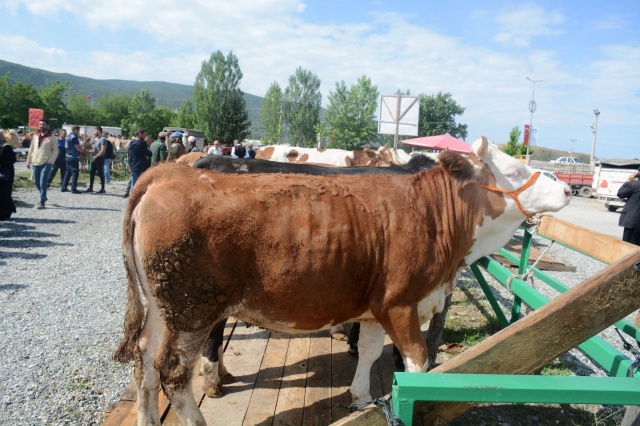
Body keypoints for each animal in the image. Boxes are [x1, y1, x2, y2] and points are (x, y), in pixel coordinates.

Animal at [114, 137, 568, 426]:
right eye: (514, 169)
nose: (566, 188)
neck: (434, 213)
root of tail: (168, 175)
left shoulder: (374, 307)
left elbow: (368, 351)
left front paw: (362, 398)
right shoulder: (400, 303)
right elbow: (416, 363)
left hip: (164, 310)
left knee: (144, 362)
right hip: (193, 307)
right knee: (173, 372)